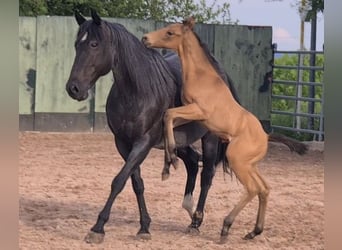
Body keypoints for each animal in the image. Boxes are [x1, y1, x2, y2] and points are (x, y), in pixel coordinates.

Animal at [142, 18, 270, 242]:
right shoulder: (188, 114)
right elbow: (168, 120)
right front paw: (169, 164)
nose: (145, 39)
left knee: (252, 189)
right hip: (250, 165)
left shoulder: (198, 111)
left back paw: (226, 227)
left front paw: (173, 159)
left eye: (170, 33)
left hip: (237, 160)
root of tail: (265, 138)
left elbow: (168, 114)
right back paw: (253, 231)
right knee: (264, 189)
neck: (202, 76)